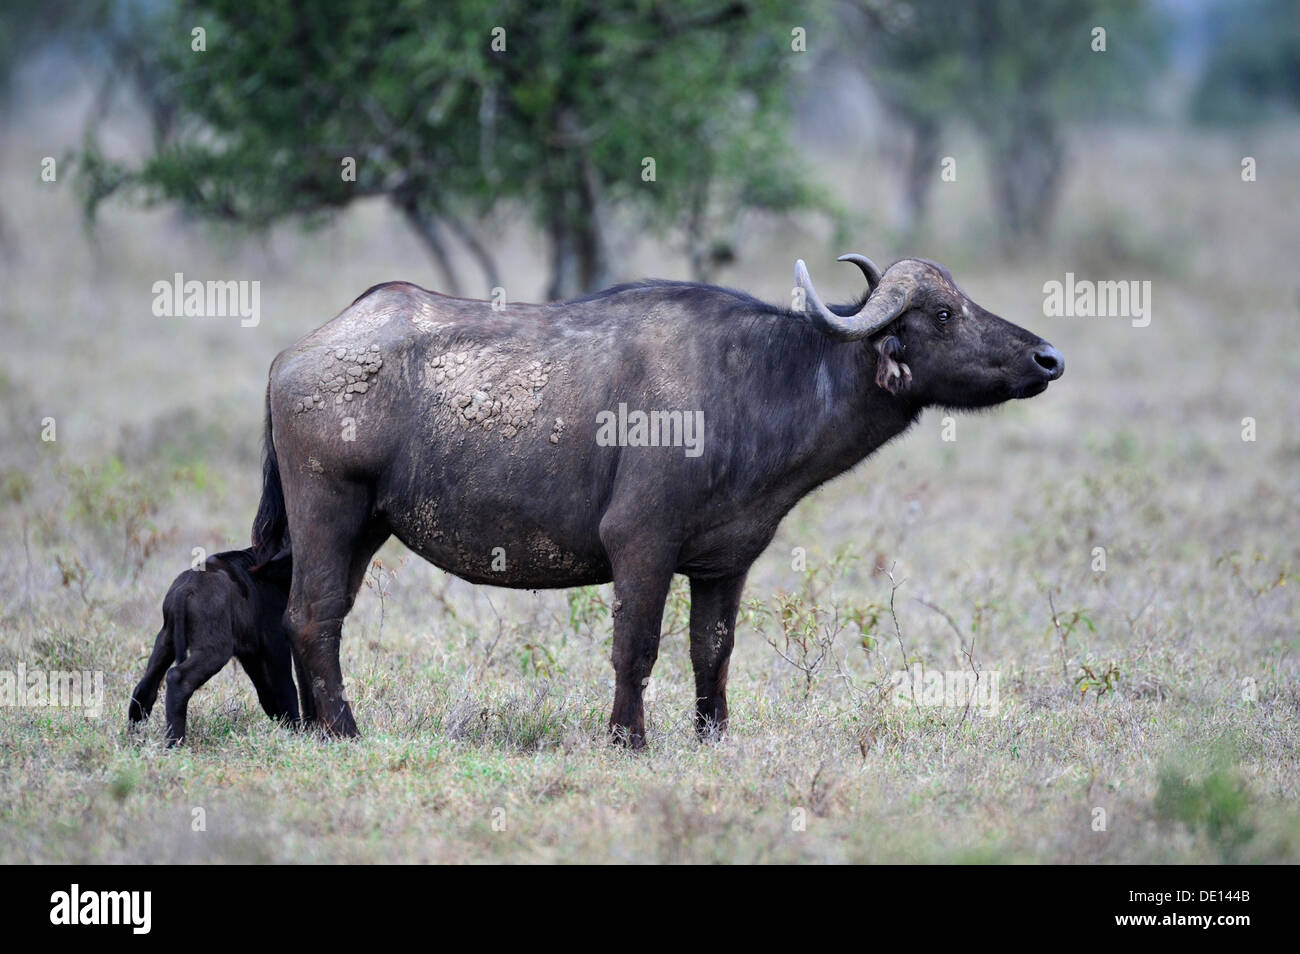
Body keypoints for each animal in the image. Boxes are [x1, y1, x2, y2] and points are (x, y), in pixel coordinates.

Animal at [250, 254, 1055, 748]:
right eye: (944, 314)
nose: (1049, 357)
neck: (758, 381)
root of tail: (295, 355)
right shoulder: (642, 545)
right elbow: (634, 649)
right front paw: (627, 739)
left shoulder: (726, 563)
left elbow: (712, 654)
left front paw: (712, 737)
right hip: (330, 512)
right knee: (312, 615)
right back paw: (343, 731)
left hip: (366, 529)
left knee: (310, 616)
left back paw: (316, 727)